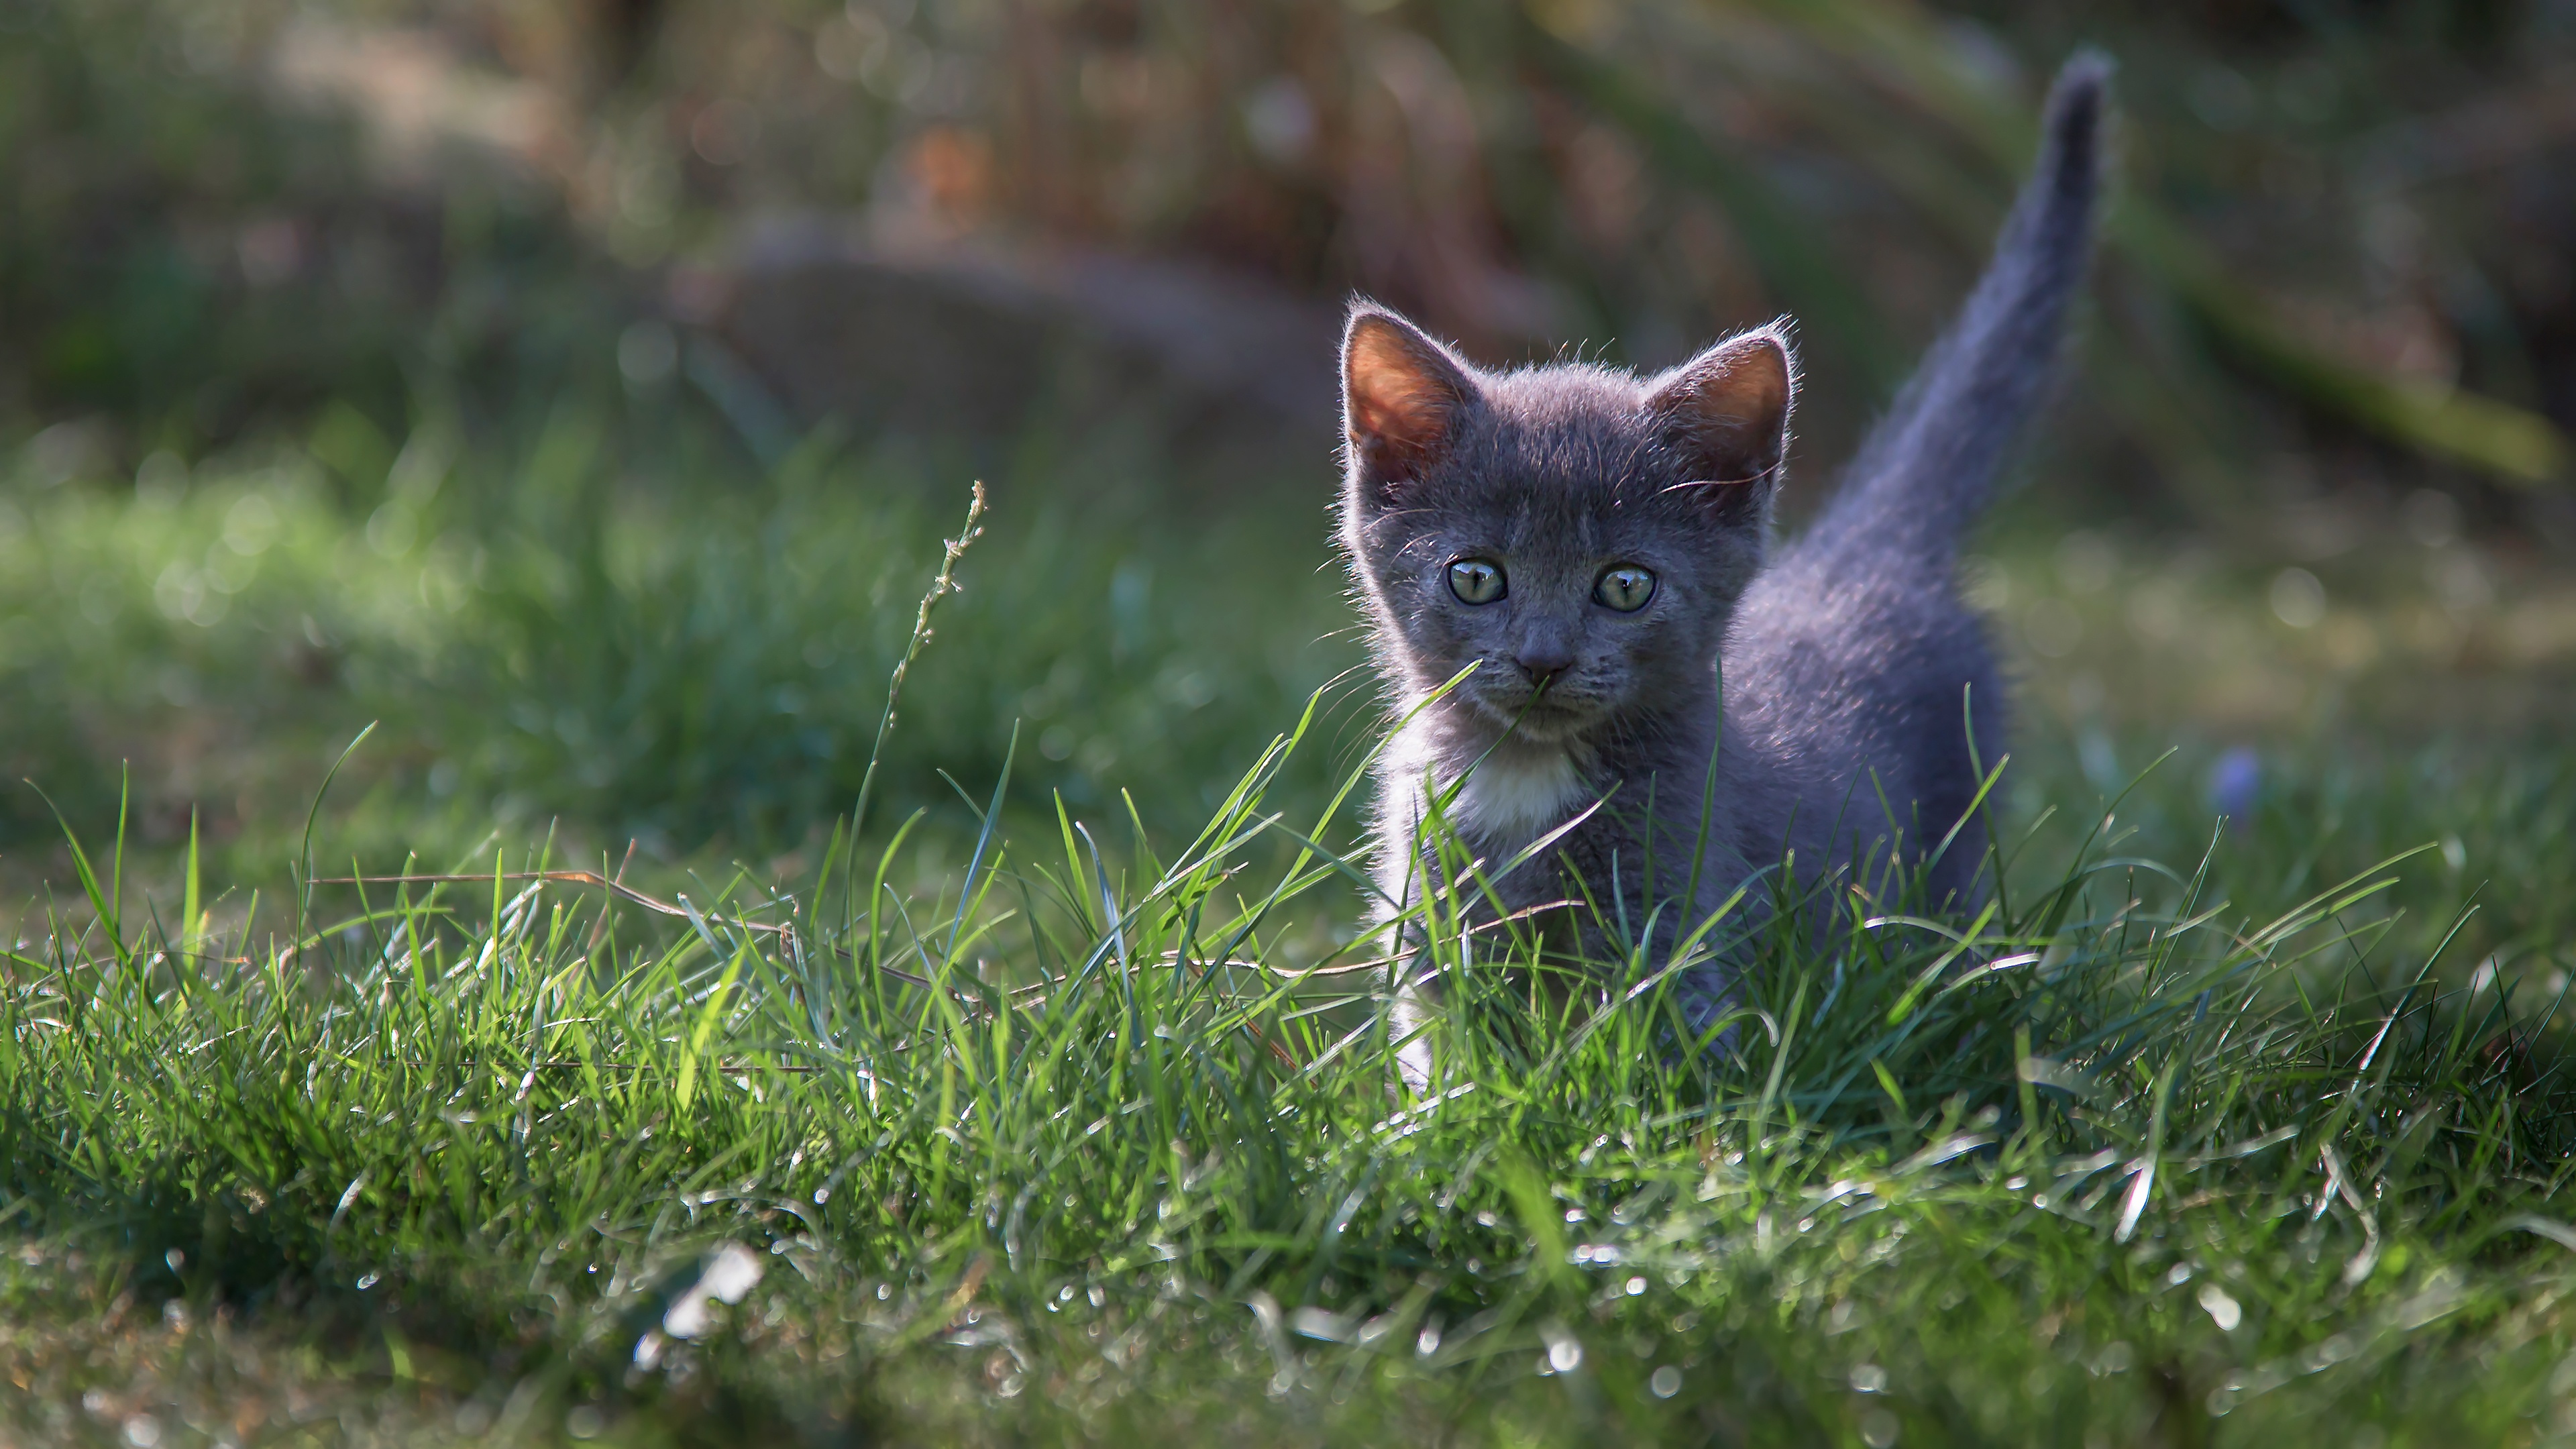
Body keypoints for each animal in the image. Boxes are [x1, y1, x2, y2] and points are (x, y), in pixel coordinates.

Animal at [1339, 56, 2102, 1077]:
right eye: (1476, 577)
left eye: (1625, 585)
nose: (1543, 659)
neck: (1527, 782)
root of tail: (1856, 555)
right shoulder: (1429, 936)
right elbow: (1450, 1066)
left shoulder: (1679, 921)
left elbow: (1654, 1068)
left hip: (1954, 838)